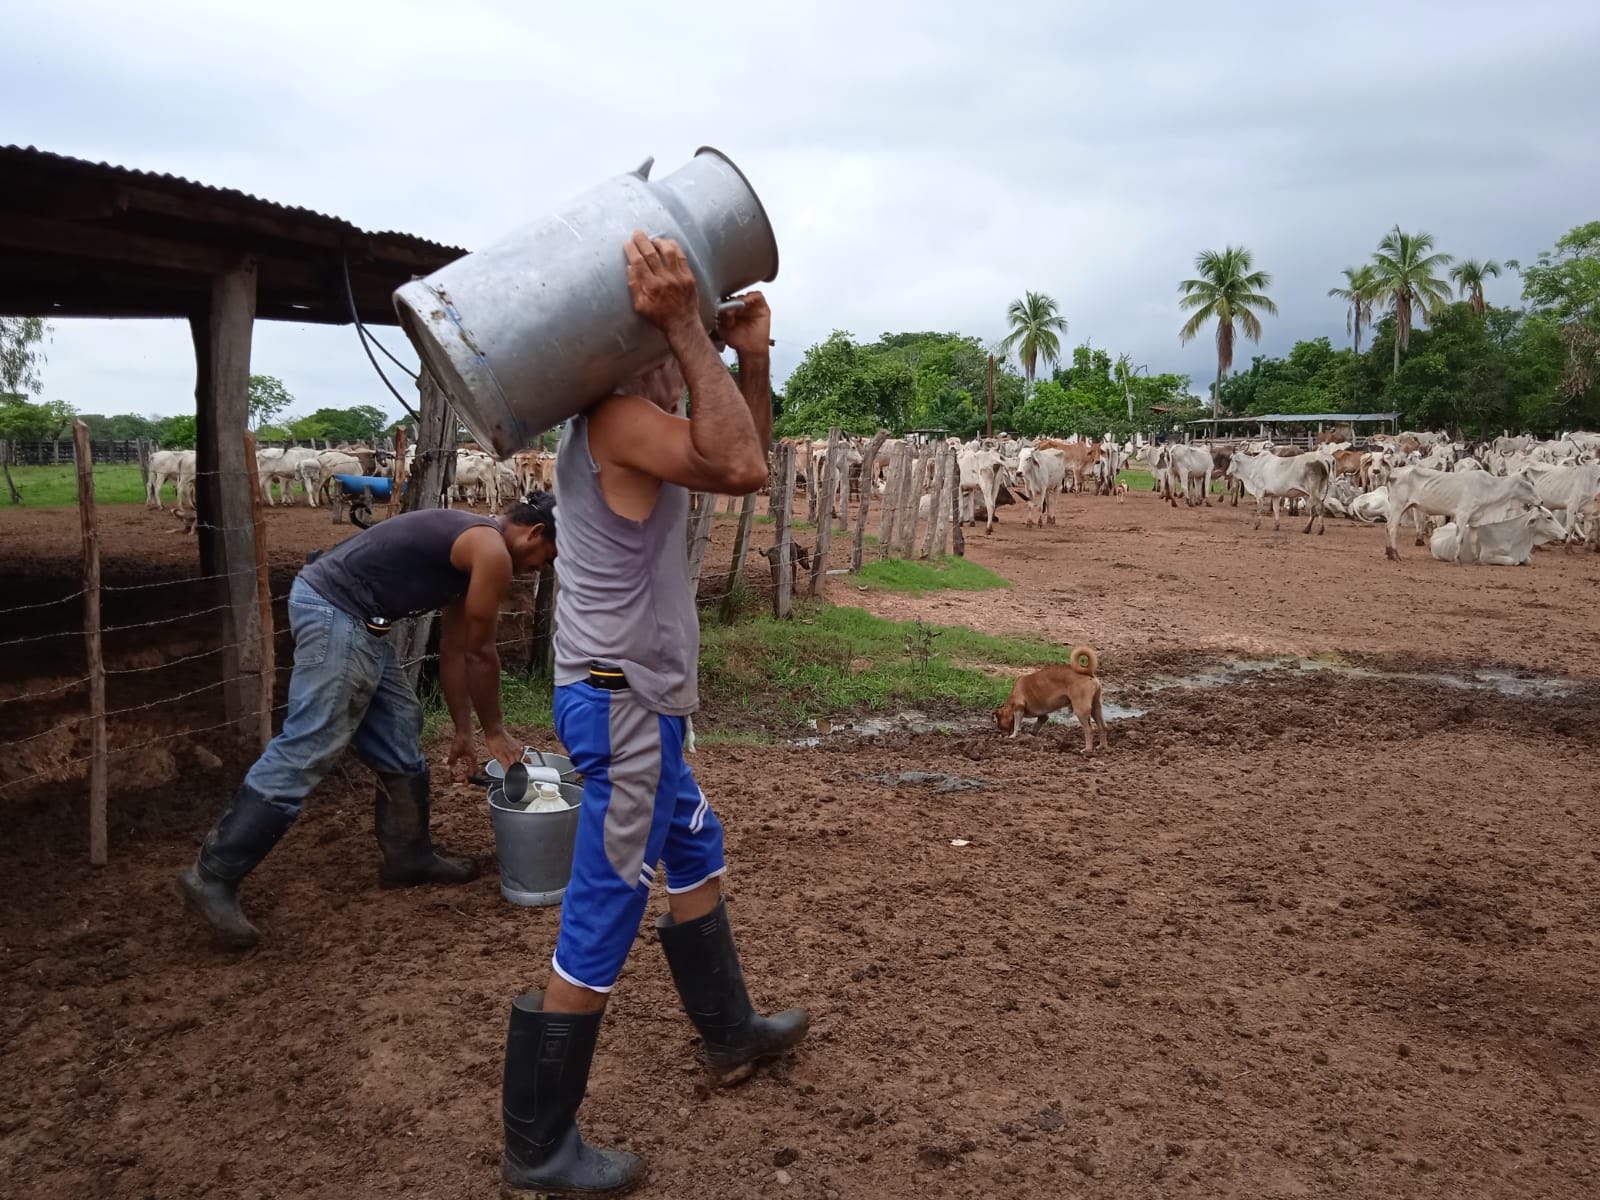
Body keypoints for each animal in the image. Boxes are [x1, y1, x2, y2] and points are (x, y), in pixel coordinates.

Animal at [985, 649, 1113, 752]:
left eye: (999, 725)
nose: (1001, 735)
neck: (1009, 705)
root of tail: (1087, 672)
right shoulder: (1042, 716)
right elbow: (1038, 723)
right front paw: (1032, 735)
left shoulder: (1018, 709)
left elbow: (1017, 724)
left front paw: (1013, 735)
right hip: (1096, 707)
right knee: (1103, 726)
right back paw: (1103, 747)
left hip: (1081, 709)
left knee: (1089, 730)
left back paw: (1087, 749)